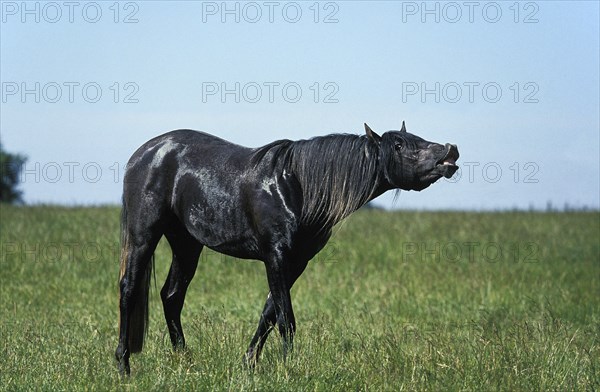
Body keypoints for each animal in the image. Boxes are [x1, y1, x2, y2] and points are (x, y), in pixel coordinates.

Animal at [113, 122, 460, 374]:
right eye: (399, 145)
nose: (450, 151)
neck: (298, 186)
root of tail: (141, 155)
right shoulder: (276, 256)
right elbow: (285, 319)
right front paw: (288, 368)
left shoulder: (297, 261)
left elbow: (269, 313)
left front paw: (250, 363)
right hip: (144, 235)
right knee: (129, 288)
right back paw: (123, 365)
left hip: (186, 243)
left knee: (172, 295)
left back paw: (186, 360)